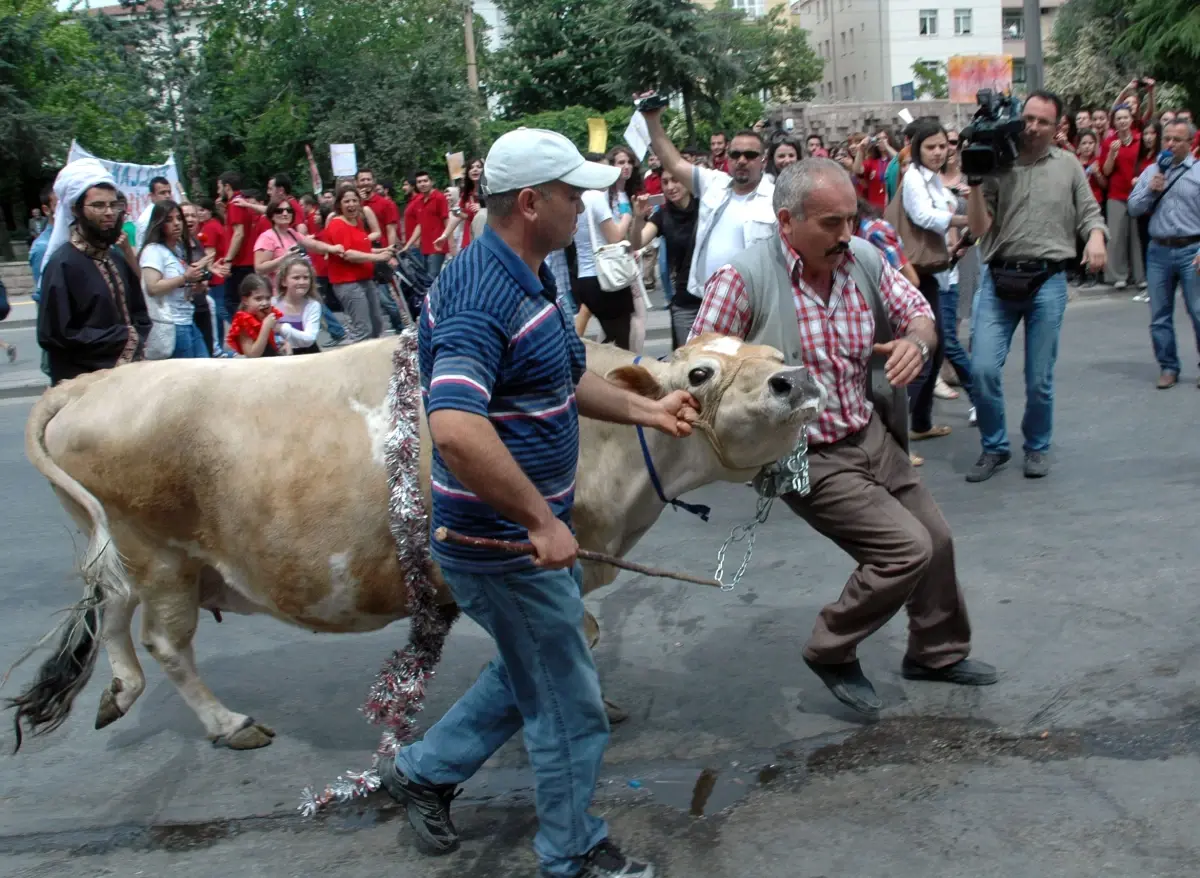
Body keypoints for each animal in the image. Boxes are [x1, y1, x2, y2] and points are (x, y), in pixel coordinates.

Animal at [9, 333, 820, 753]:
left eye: (768, 349)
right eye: (701, 372)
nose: (795, 378)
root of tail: (90, 383)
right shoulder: (534, 560)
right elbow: (574, 636)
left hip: (124, 551)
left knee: (110, 610)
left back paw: (119, 692)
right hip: (161, 554)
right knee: (166, 642)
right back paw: (227, 723)